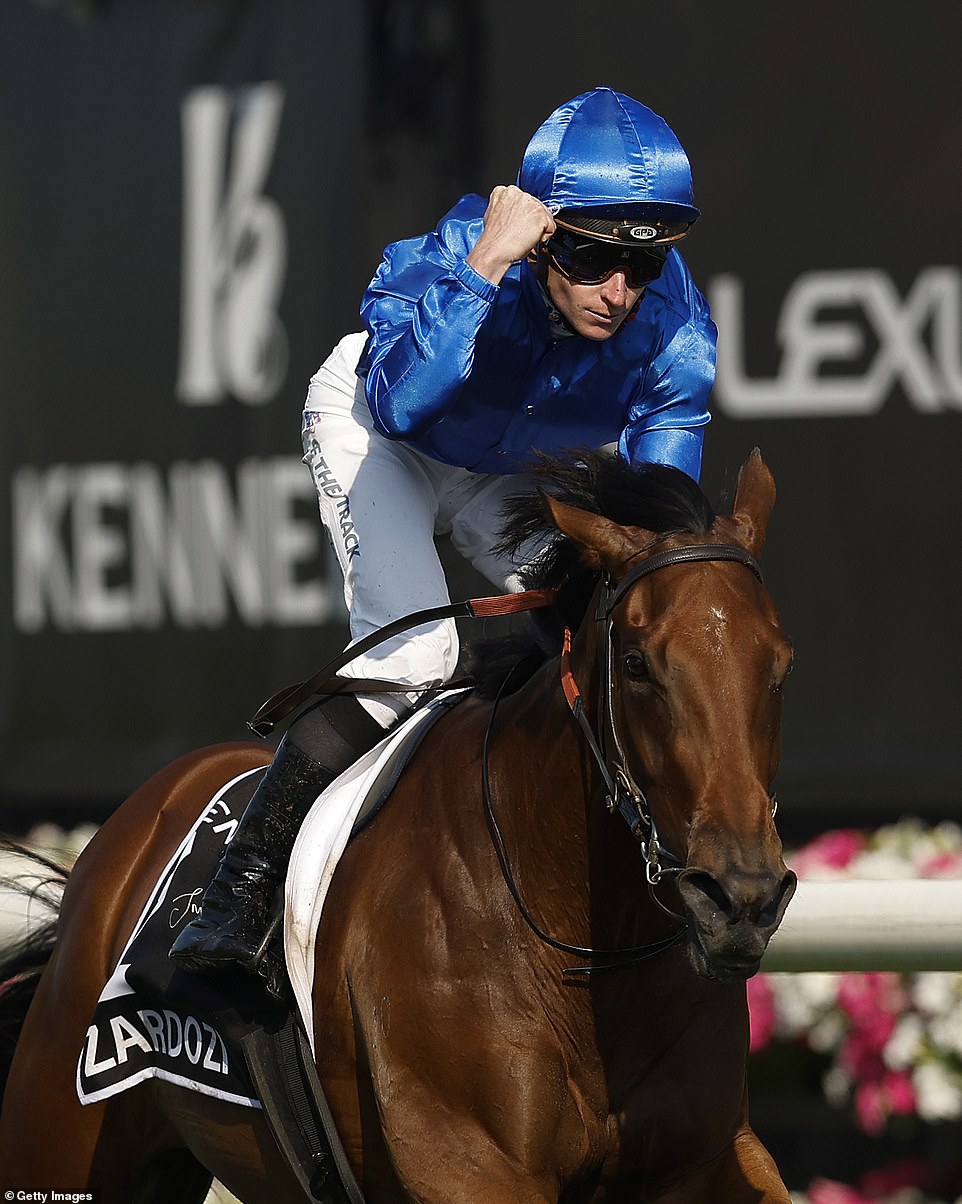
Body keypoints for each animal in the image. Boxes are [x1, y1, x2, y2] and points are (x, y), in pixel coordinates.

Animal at [0, 447, 799, 1199]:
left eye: (781, 666)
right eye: (636, 664)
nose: (740, 900)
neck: (581, 951)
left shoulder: (708, 1157)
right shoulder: (463, 1160)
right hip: (65, 1128)